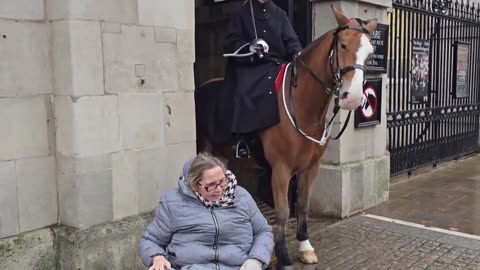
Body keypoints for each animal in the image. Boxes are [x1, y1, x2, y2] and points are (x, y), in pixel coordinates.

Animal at [193, 7, 376, 268]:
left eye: (370, 52)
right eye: (342, 45)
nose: (353, 97)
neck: (303, 107)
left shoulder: (310, 167)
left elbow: (302, 205)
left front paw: (305, 246)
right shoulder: (281, 168)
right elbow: (282, 211)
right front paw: (282, 256)